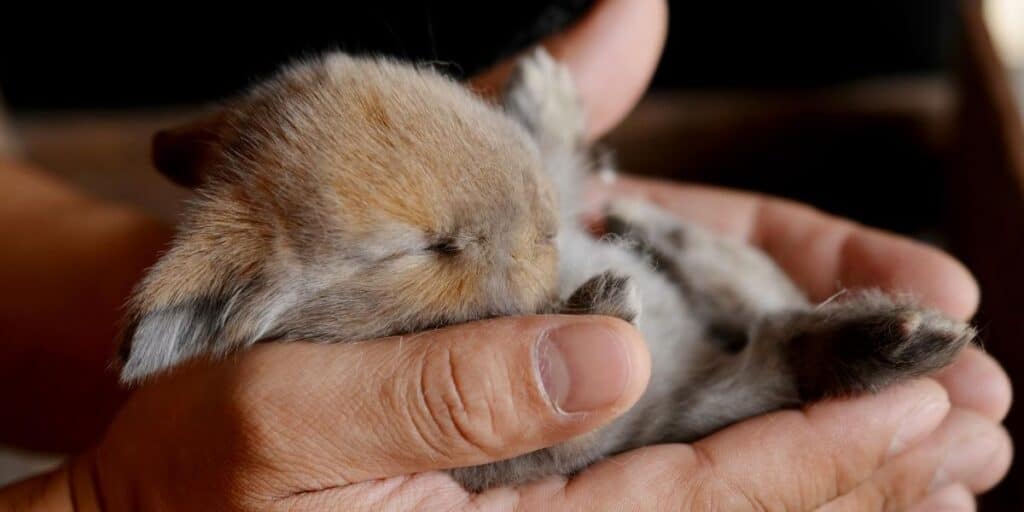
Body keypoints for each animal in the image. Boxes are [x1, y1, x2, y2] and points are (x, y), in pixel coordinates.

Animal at [119, 48, 974, 491]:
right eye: (419, 250)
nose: (543, 229)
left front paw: (546, 92)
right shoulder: (518, 462)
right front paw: (606, 307)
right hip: (709, 399)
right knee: (781, 358)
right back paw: (901, 340)